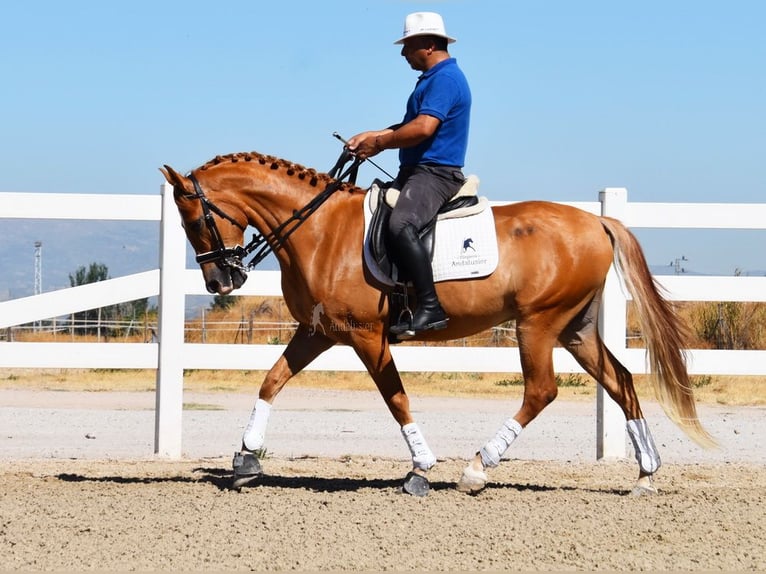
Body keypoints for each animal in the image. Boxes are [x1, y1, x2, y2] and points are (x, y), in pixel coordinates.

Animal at [159, 151, 716, 498]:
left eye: (195, 219)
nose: (221, 280)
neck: (318, 229)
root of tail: (596, 221)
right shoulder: (318, 332)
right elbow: (271, 381)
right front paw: (246, 460)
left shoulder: (366, 335)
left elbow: (396, 400)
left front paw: (421, 469)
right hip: (574, 329)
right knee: (620, 381)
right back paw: (645, 476)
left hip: (537, 324)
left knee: (541, 390)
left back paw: (477, 468)